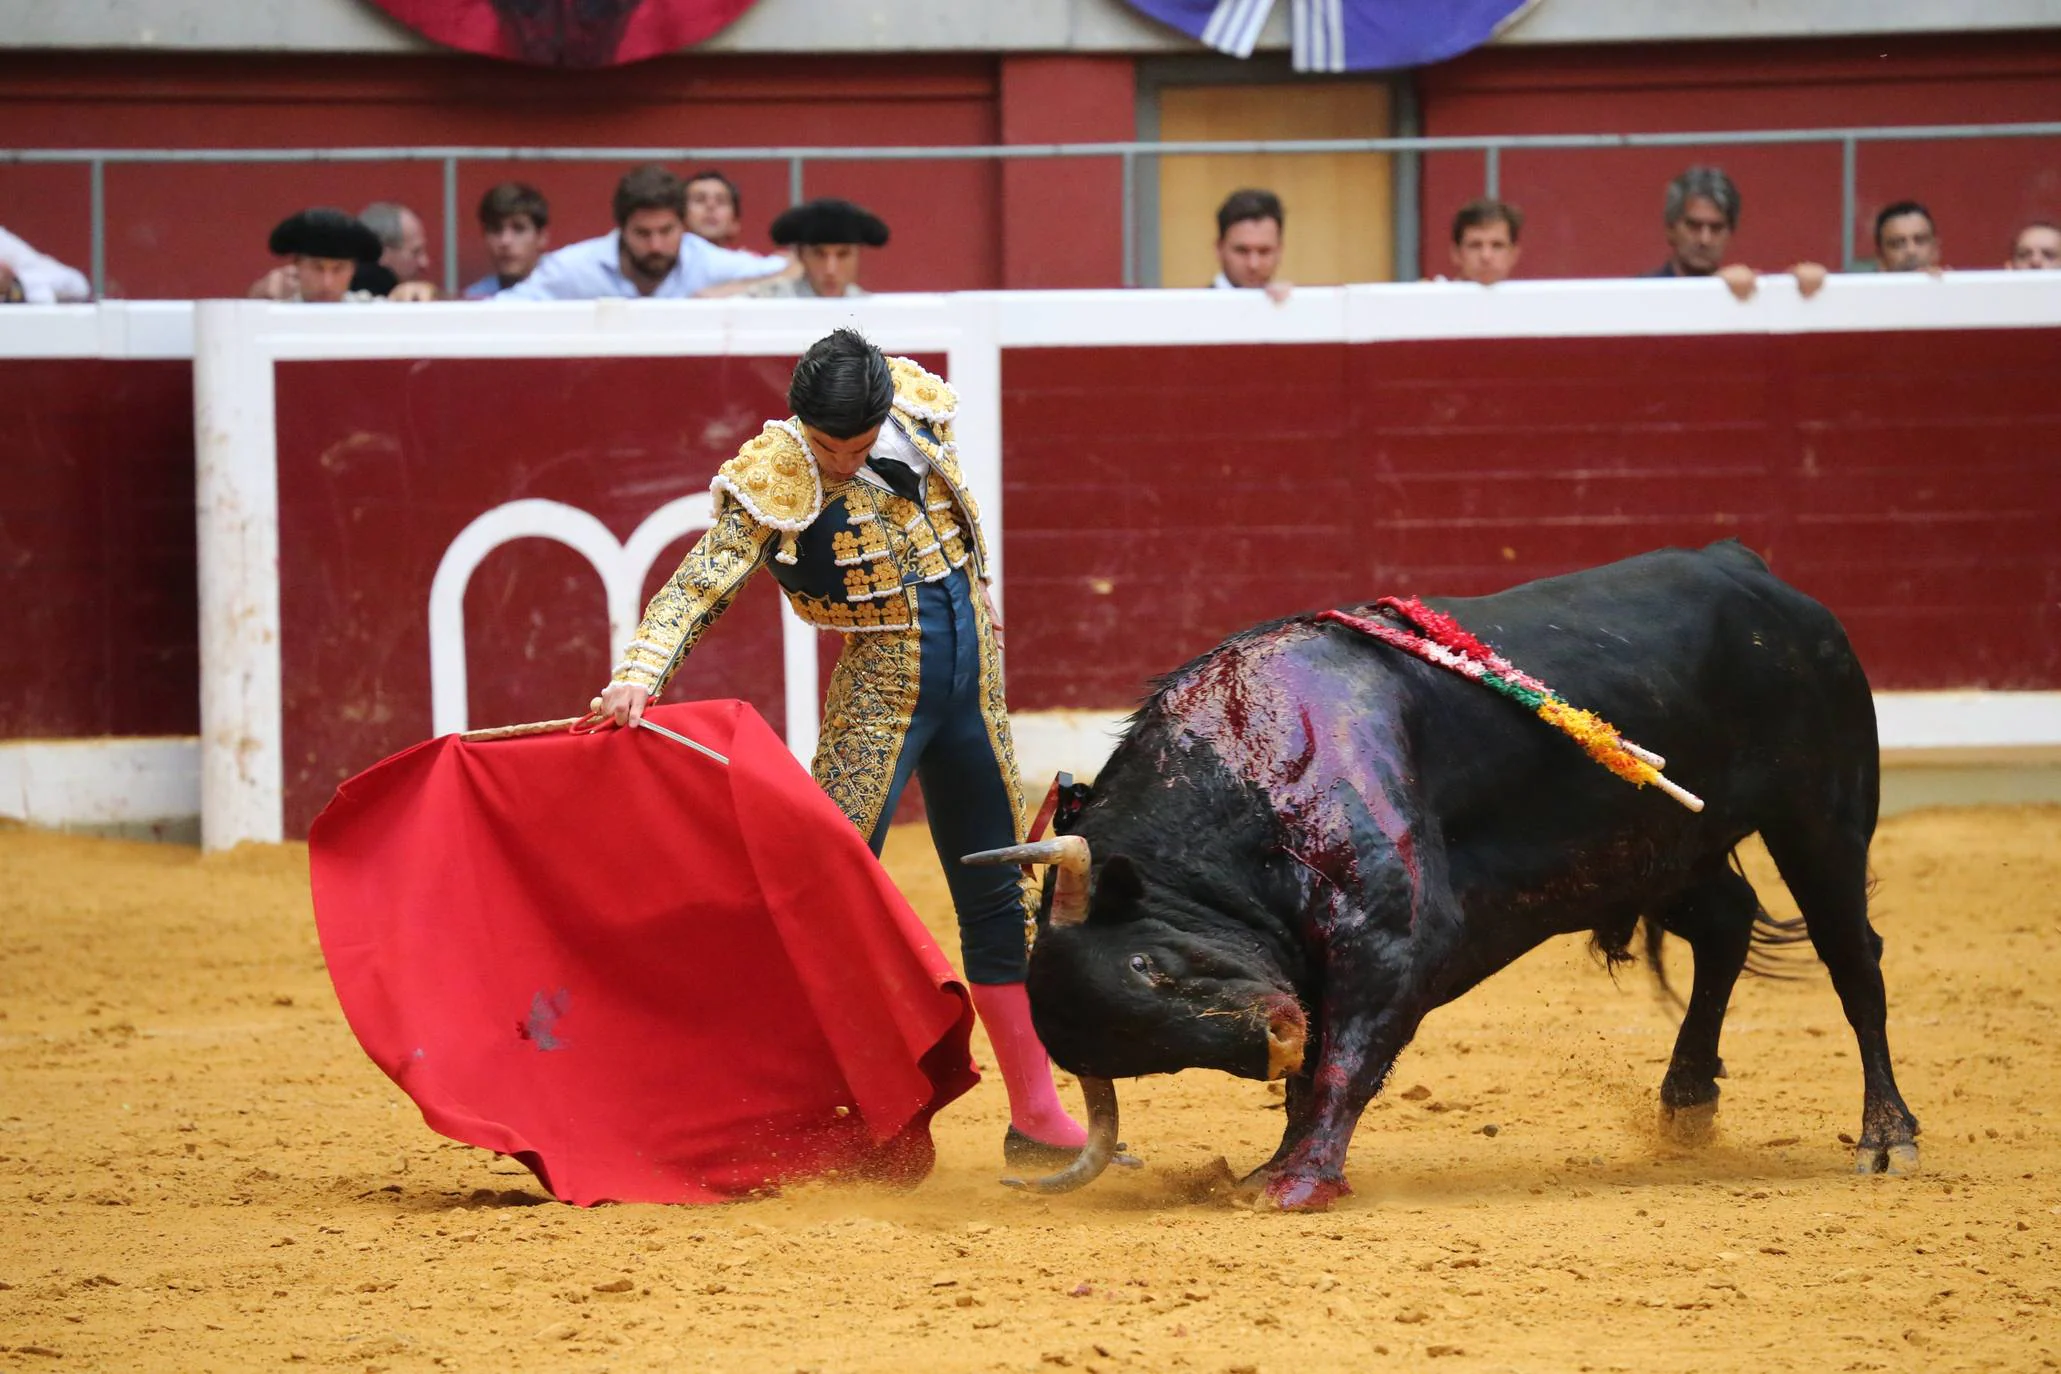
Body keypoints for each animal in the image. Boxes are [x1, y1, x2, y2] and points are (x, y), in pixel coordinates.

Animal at [964, 543, 1912, 1211]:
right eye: (1147, 1058)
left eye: (1147, 966)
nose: (1275, 1035)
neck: (1243, 777)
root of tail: (1748, 570)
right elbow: (1315, 1072)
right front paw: (1276, 1162)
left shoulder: (1394, 942)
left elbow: (1344, 1064)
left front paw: (1295, 1183)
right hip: (1661, 849)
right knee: (1726, 920)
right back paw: (1684, 1102)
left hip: (1819, 814)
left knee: (1852, 957)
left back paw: (1885, 1138)